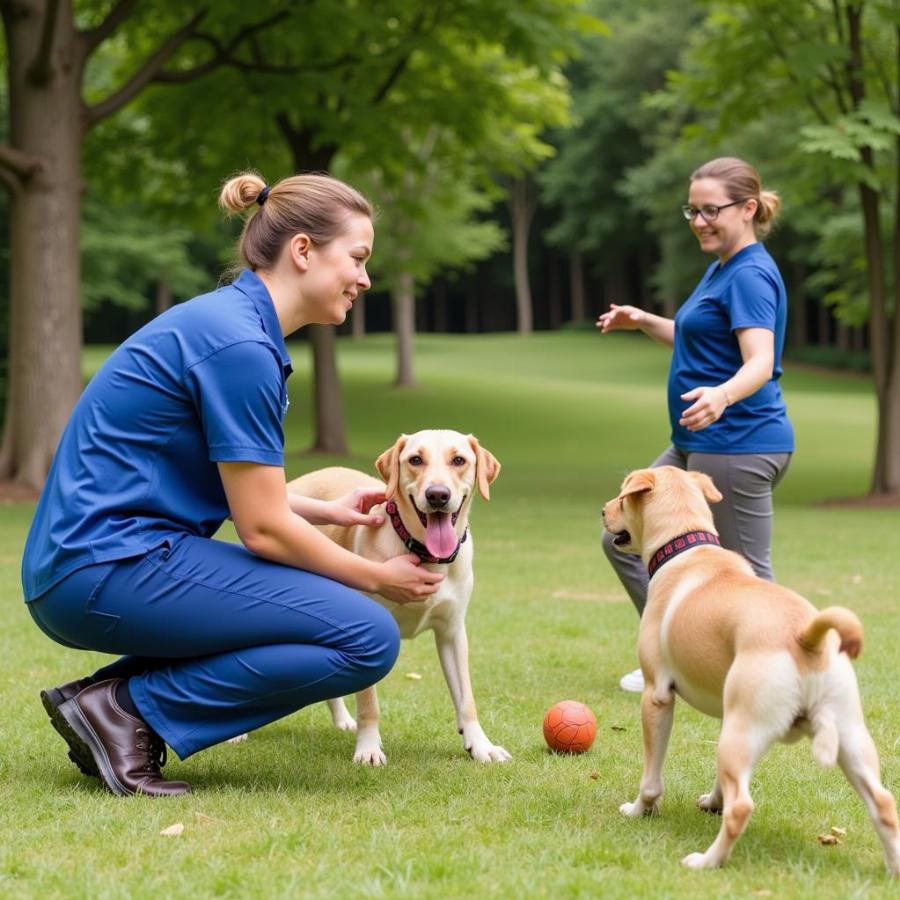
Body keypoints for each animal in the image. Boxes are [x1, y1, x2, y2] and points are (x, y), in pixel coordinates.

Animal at [290, 428, 512, 768]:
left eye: (459, 460)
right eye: (416, 460)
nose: (437, 495)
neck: (427, 556)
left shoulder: (453, 632)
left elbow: (467, 699)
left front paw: (480, 745)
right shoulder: (368, 632)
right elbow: (369, 702)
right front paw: (368, 748)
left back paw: (342, 719)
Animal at [600, 468, 896, 876]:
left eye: (622, 498)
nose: (603, 511)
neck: (686, 547)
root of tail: (806, 636)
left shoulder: (656, 697)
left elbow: (651, 779)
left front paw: (639, 810)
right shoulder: (727, 711)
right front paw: (713, 801)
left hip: (745, 732)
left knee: (742, 807)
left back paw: (706, 861)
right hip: (847, 735)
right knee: (883, 802)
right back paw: (894, 867)